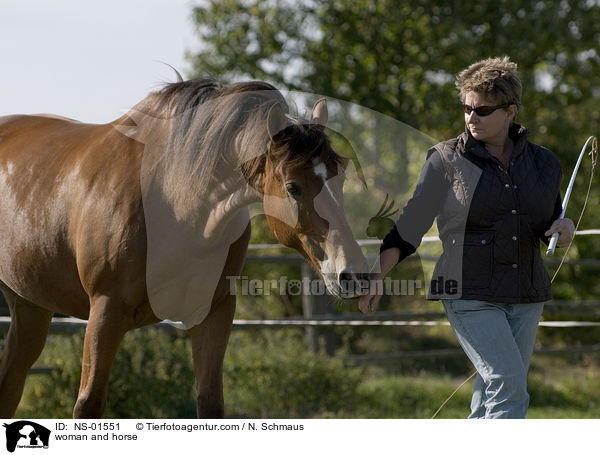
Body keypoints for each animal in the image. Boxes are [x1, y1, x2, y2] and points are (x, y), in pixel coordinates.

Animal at [0, 77, 368, 416]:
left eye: (341, 178)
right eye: (293, 187)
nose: (353, 274)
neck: (174, 197)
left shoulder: (213, 313)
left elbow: (210, 403)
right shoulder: (105, 311)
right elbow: (88, 405)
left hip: (30, 307)